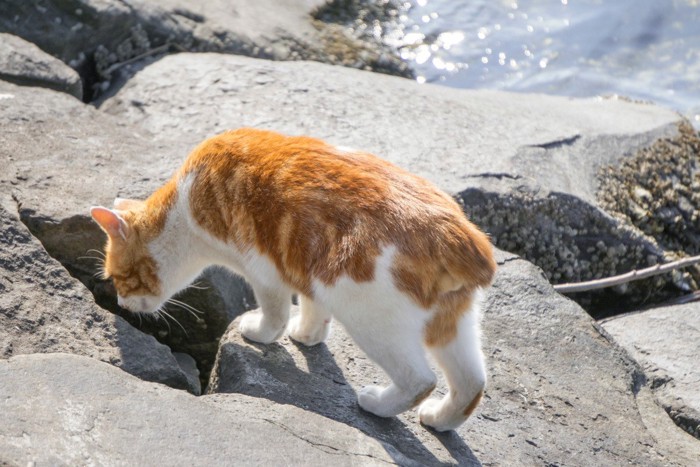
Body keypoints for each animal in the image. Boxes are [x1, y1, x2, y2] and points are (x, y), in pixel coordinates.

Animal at [91, 127, 498, 432]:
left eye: (119, 278)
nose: (121, 304)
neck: (185, 205)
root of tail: (465, 239)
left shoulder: (263, 271)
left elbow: (275, 313)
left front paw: (262, 332)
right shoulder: (307, 266)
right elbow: (313, 306)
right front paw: (307, 334)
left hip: (371, 318)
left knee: (420, 379)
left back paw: (379, 404)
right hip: (452, 325)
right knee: (472, 383)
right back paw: (441, 419)